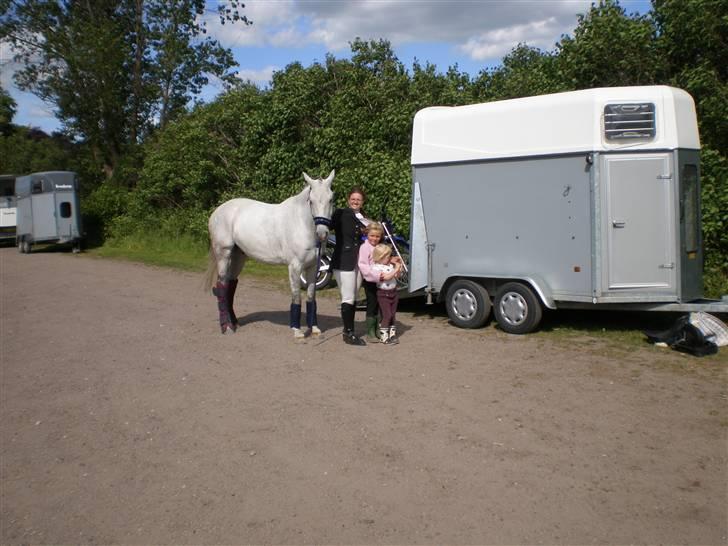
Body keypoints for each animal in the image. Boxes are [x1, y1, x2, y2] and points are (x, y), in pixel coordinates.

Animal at [205, 170, 336, 336]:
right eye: (311, 201)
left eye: (331, 199)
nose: (322, 233)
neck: (301, 223)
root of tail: (216, 212)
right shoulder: (295, 266)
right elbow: (296, 297)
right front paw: (297, 331)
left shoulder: (313, 266)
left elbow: (311, 296)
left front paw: (314, 329)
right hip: (224, 254)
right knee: (222, 284)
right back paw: (226, 327)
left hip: (238, 257)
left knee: (230, 285)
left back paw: (234, 322)